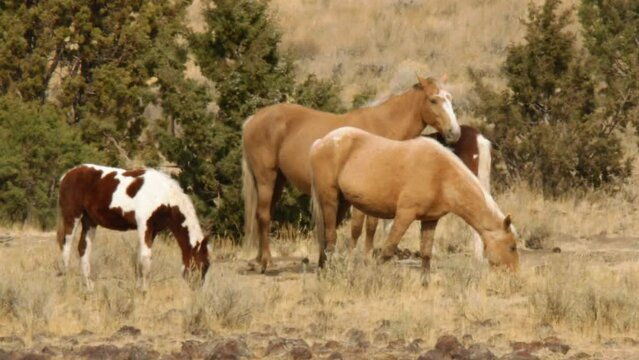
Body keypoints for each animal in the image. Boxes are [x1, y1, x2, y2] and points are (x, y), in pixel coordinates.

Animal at [55, 164, 210, 290]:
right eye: (201, 264)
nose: (197, 289)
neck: (164, 196)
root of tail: (66, 175)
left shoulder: (152, 230)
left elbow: (139, 258)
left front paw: (138, 288)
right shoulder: (144, 225)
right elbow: (145, 258)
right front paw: (144, 291)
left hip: (89, 221)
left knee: (83, 249)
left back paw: (89, 287)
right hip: (72, 217)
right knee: (66, 247)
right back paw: (67, 284)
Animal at [241, 76, 460, 272]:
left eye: (450, 98)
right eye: (433, 100)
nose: (454, 132)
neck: (382, 127)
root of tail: (253, 119)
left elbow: (371, 226)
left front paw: (367, 260)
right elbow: (357, 228)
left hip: (278, 181)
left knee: (264, 214)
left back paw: (260, 259)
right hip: (266, 178)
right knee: (263, 215)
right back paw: (266, 263)